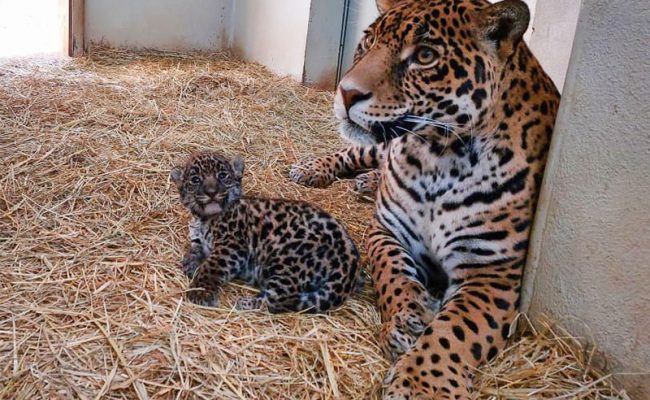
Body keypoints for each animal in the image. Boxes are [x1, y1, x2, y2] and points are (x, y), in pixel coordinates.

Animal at [171, 151, 360, 313]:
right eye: (196, 179)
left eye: (223, 176)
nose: (211, 192)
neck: (203, 219)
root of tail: (349, 263)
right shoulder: (199, 240)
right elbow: (196, 250)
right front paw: (190, 263)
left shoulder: (231, 247)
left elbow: (211, 267)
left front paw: (200, 292)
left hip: (286, 259)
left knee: (284, 299)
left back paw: (246, 303)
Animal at [290, 0, 560, 398]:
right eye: (368, 42)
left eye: (425, 56)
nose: (346, 92)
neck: (440, 159)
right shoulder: (386, 231)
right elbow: (393, 273)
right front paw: (410, 317)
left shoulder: (492, 272)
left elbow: (456, 329)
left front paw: (421, 383)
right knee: (355, 151)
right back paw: (312, 170)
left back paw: (367, 182)